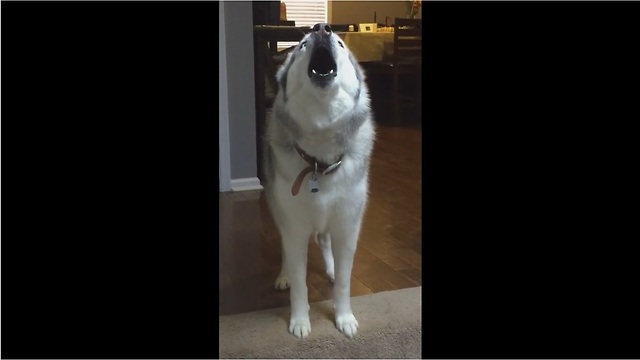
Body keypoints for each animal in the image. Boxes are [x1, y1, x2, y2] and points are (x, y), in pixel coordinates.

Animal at [264, 23, 376, 338]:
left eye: (340, 43)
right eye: (302, 45)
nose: (321, 28)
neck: (320, 161)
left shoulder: (348, 228)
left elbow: (345, 283)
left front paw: (344, 317)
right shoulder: (295, 228)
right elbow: (300, 283)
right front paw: (300, 321)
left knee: (325, 240)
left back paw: (331, 268)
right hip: (279, 212)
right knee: (284, 248)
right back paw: (283, 275)